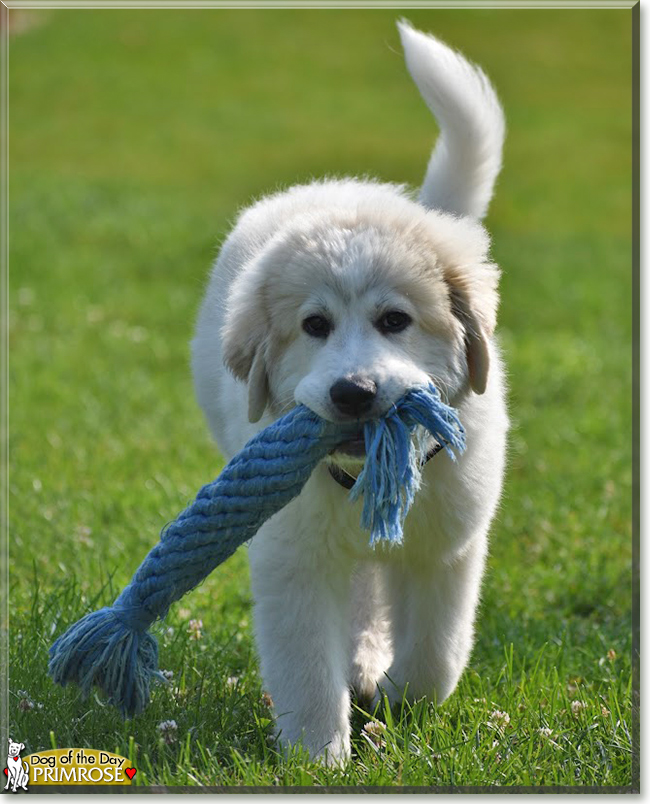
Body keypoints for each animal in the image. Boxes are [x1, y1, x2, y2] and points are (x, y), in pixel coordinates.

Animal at [190, 18, 508, 760]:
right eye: (315, 326)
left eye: (395, 320)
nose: (354, 395)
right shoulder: (295, 561)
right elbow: (307, 668)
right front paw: (318, 757)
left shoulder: (447, 549)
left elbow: (436, 656)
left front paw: (398, 698)